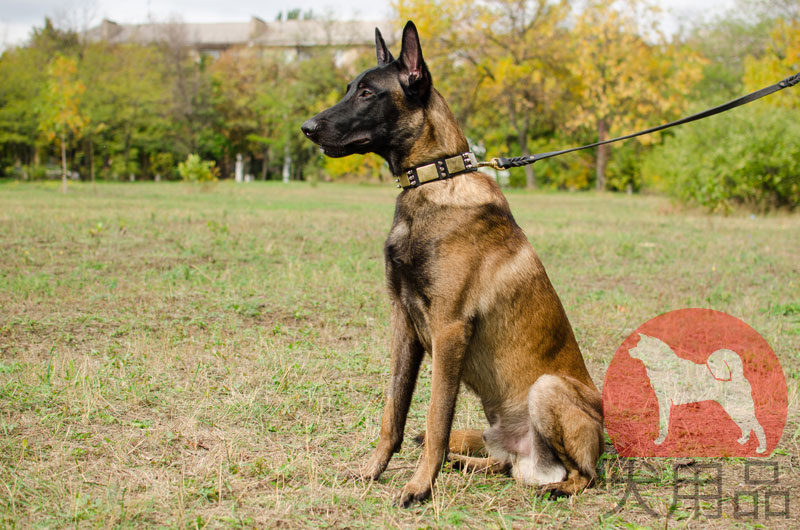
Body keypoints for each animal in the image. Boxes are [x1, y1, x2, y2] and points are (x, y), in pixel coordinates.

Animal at [304, 20, 604, 506]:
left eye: (367, 93)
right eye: (349, 88)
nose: (307, 127)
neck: (432, 178)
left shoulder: (449, 330)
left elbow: (435, 417)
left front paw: (418, 486)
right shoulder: (404, 325)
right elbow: (394, 413)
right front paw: (372, 471)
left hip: (549, 388)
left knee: (583, 475)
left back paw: (552, 487)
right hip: (498, 431)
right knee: (504, 464)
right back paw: (466, 464)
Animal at [628, 334, 764, 450]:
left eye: (638, 345)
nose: (628, 351)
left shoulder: (665, 402)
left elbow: (664, 424)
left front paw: (661, 440)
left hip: (735, 408)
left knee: (757, 427)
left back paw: (760, 449)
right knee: (749, 427)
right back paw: (743, 442)